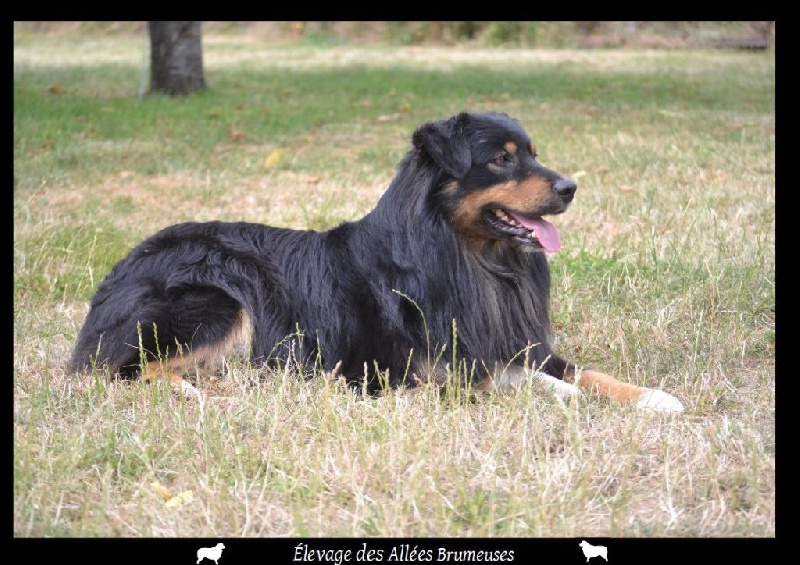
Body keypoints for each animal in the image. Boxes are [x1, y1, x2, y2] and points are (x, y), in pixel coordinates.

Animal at [69, 112, 684, 412]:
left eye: (533, 154)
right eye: (501, 160)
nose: (570, 188)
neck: (471, 258)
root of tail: (120, 269)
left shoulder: (513, 340)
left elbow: (583, 370)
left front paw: (652, 397)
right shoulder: (426, 372)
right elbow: (516, 380)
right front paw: (561, 396)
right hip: (221, 301)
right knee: (123, 372)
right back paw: (190, 392)